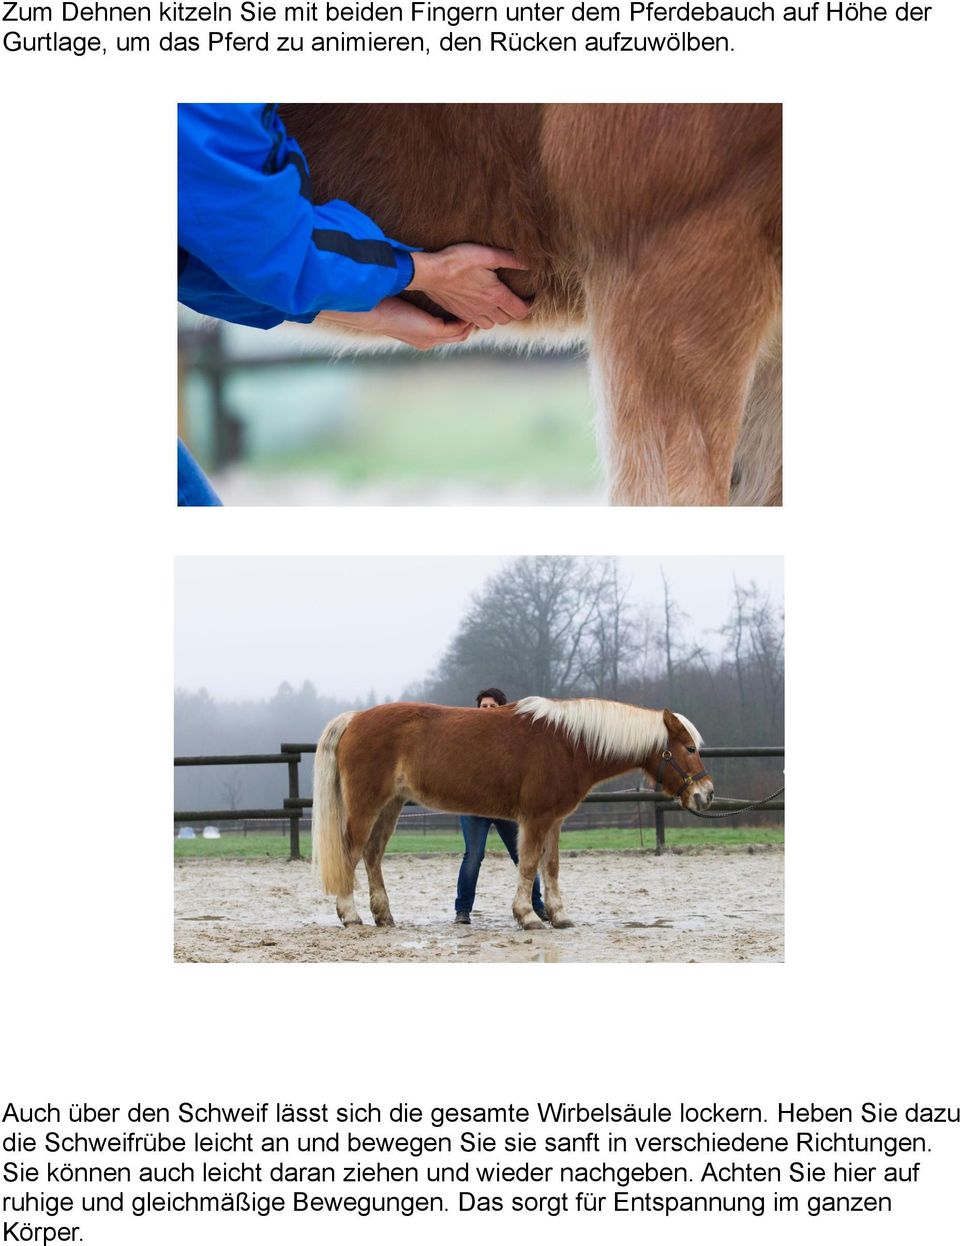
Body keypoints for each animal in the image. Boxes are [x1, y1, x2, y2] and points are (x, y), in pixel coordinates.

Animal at [309, 697, 708, 932]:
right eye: (689, 748)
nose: (705, 795)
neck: (568, 743)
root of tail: (355, 718)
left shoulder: (554, 821)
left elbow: (550, 867)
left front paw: (558, 915)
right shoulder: (536, 819)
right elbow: (529, 864)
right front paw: (527, 916)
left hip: (390, 806)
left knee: (372, 854)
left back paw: (384, 915)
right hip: (367, 806)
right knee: (351, 853)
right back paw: (351, 915)